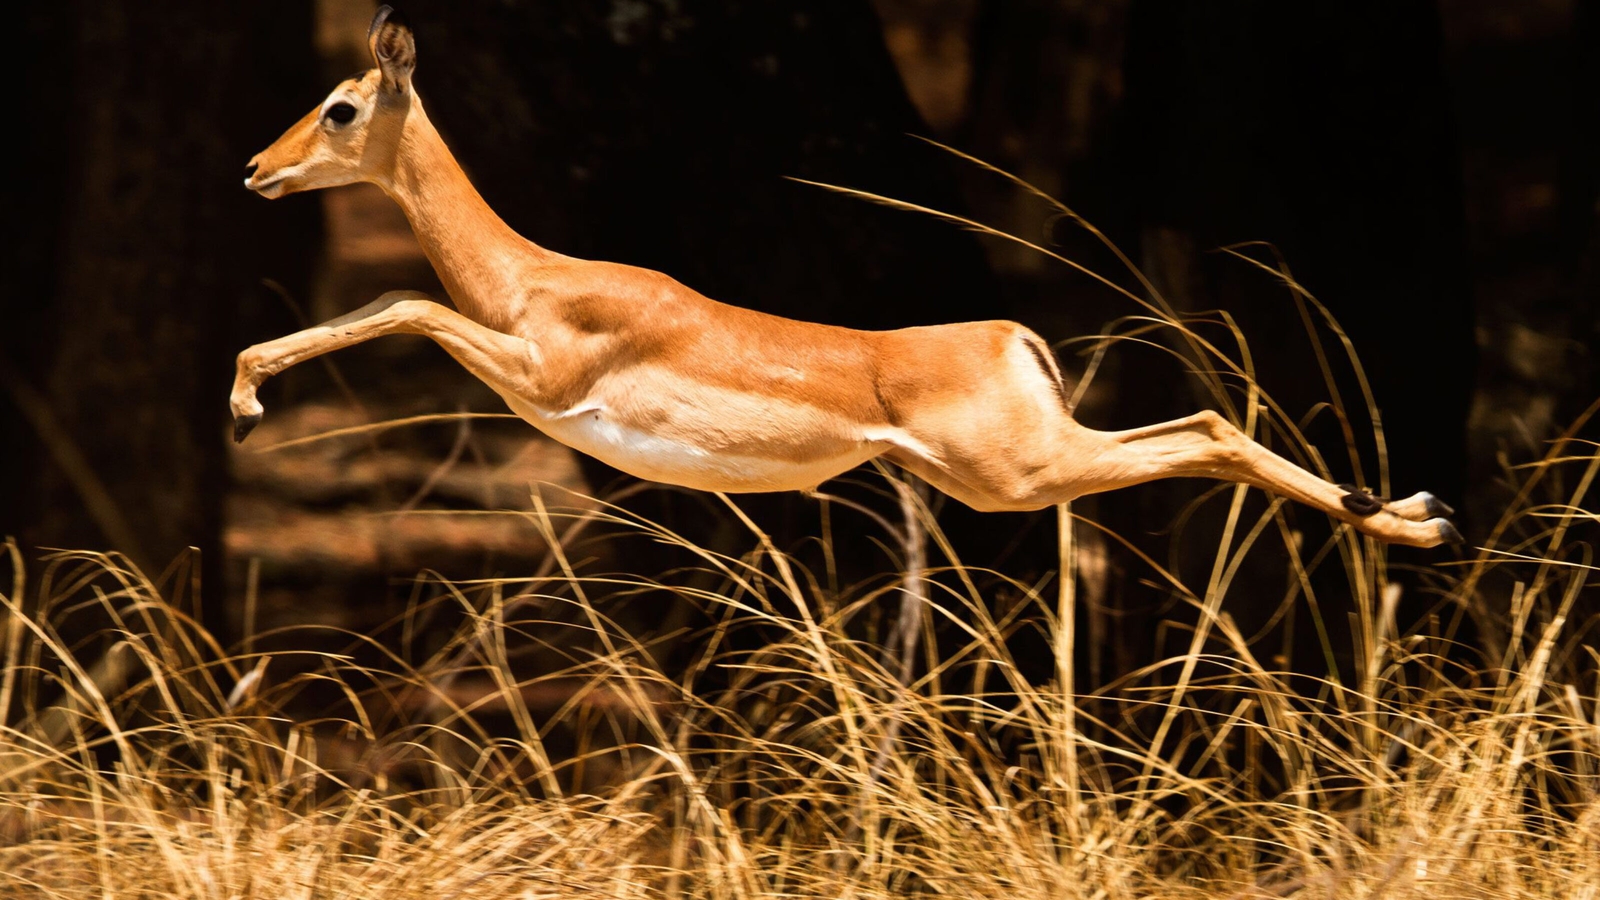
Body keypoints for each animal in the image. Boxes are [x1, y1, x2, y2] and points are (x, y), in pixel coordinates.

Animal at [233, 6, 1460, 549]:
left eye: (340, 106)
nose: (255, 167)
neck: (535, 279)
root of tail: (1010, 337)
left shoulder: (537, 376)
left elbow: (402, 299)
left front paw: (244, 402)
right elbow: (386, 301)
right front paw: (244, 396)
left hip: (1020, 474)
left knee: (1207, 431)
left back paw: (1417, 521)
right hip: (1016, 469)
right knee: (1199, 425)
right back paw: (1413, 510)